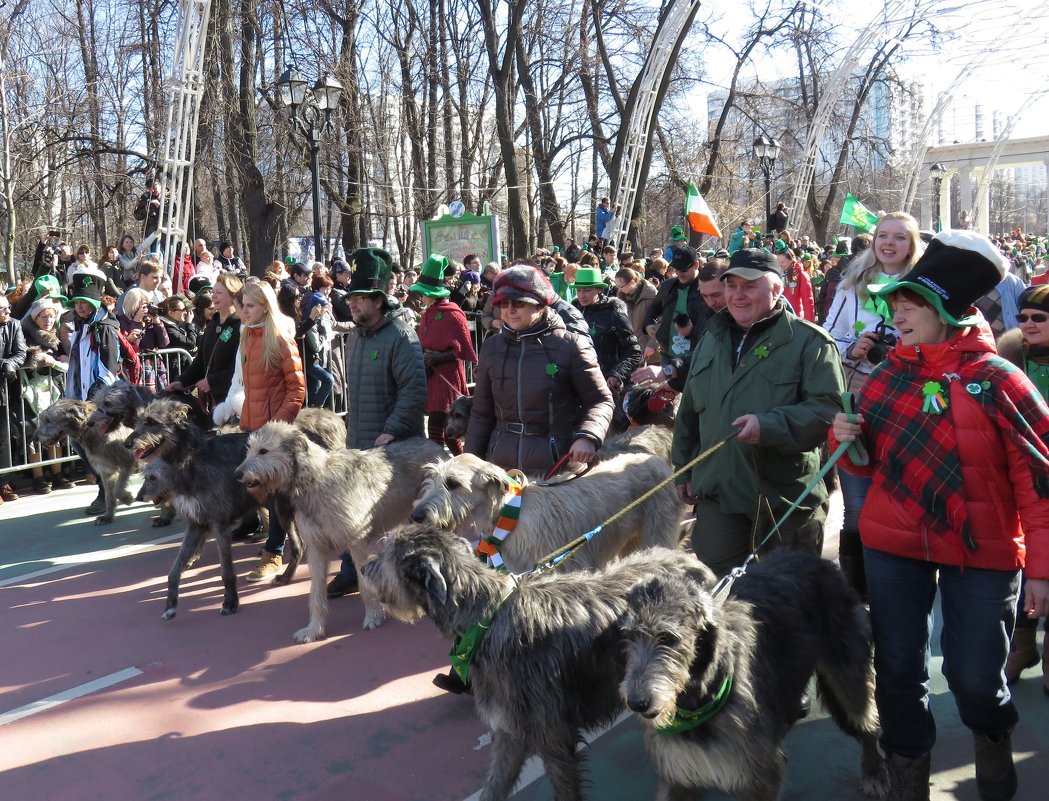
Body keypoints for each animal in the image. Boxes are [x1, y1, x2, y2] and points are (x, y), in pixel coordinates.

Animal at [238, 421, 446, 641]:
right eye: (249, 449)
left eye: (263, 451)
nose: (237, 474)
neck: (314, 480)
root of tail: (435, 445)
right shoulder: (316, 549)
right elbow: (316, 591)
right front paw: (314, 629)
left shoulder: (357, 542)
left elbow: (365, 585)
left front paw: (373, 617)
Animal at [360, 526, 713, 801]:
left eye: (386, 554)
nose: (364, 568)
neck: (485, 619)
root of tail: (686, 558)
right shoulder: (509, 728)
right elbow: (495, 784)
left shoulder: (553, 734)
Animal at [409, 450, 679, 574]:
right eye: (433, 477)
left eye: (453, 483)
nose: (416, 516)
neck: (510, 514)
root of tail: (658, 461)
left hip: (657, 532)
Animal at [616, 549, 889, 801]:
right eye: (628, 636)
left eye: (668, 638)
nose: (638, 703)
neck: (698, 703)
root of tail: (816, 559)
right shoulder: (678, 772)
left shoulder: (757, 777)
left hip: (848, 669)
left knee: (867, 720)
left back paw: (875, 771)